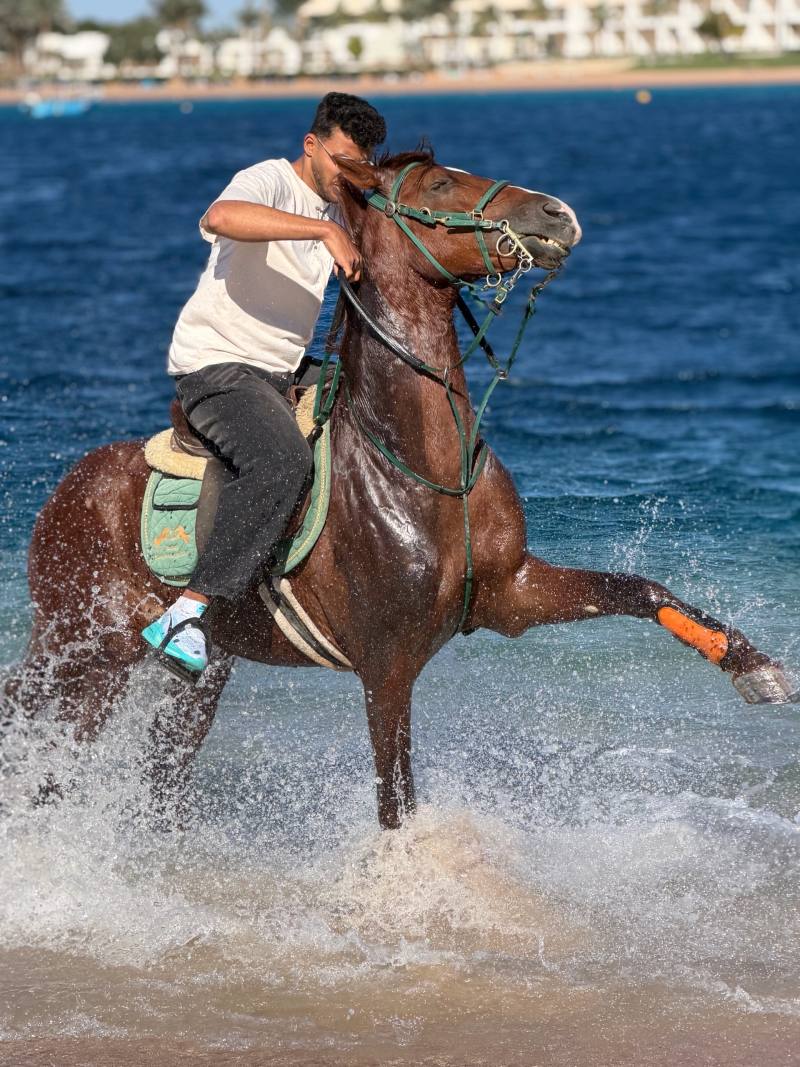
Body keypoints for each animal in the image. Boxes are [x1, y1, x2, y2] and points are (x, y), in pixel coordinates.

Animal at [4, 148, 796, 830]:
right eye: (440, 184)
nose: (559, 213)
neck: (420, 468)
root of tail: (66, 488)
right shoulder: (386, 669)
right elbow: (397, 804)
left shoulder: (511, 594)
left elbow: (640, 589)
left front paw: (753, 666)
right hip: (83, 647)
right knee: (36, 723)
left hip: (193, 671)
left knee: (154, 772)